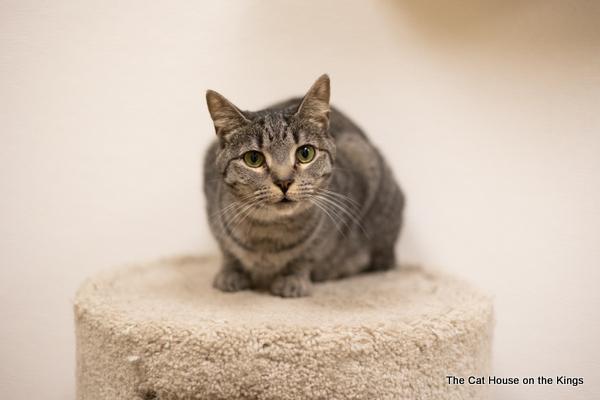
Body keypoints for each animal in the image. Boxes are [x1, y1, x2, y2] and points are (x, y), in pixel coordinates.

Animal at [204, 74, 406, 296]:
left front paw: (293, 279)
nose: (284, 181)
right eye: (253, 158)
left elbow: (306, 255)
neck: (269, 233)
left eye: (305, 153)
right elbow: (228, 251)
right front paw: (230, 273)